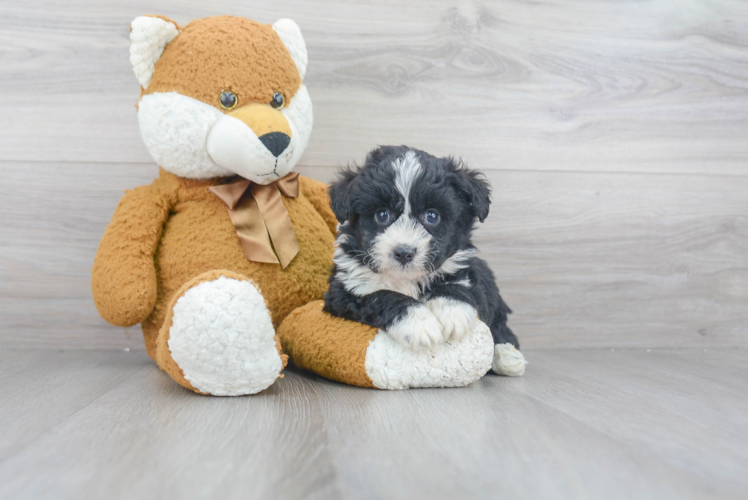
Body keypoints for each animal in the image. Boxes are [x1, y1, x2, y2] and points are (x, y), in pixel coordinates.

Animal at [322, 145, 524, 376]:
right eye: (382, 214)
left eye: (432, 216)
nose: (403, 252)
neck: (405, 279)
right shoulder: (344, 292)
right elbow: (381, 296)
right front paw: (418, 323)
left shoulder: (466, 272)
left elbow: (458, 285)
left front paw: (452, 312)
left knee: (500, 326)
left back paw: (507, 355)